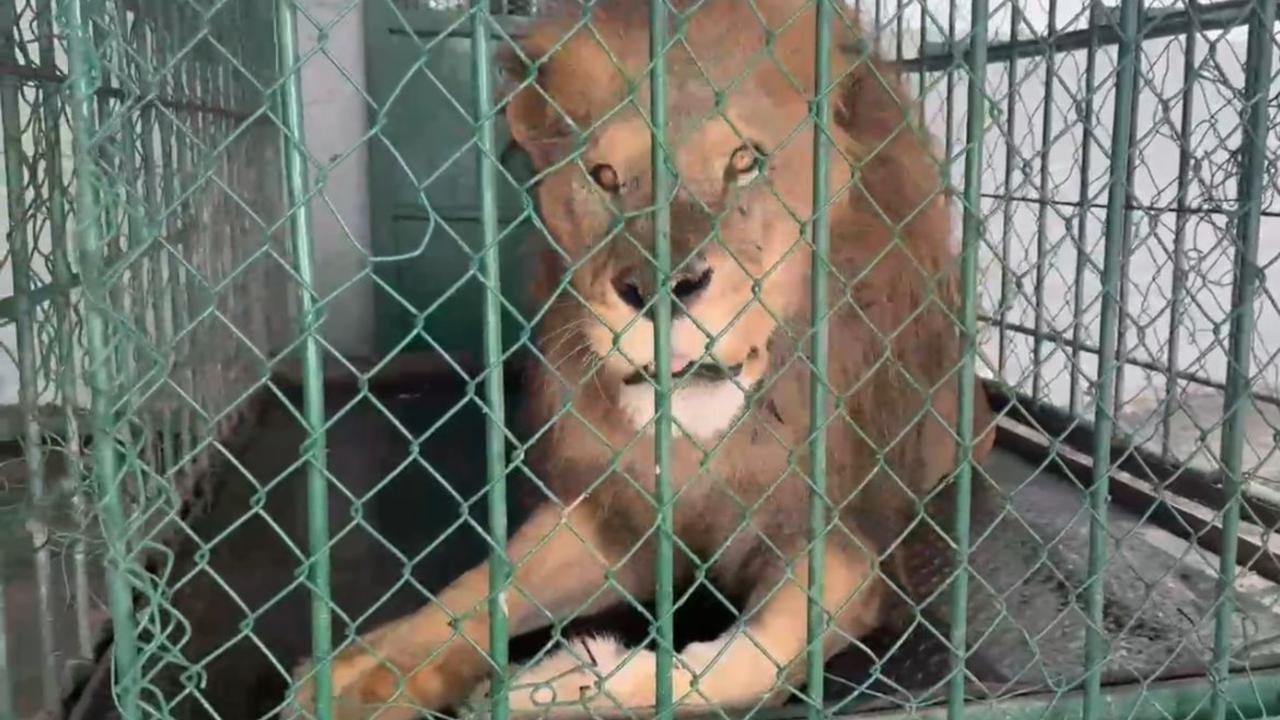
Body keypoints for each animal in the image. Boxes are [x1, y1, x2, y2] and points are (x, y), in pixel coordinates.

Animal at [285, 0, 993, 712]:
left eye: (745, 161)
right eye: (602, 177)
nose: (658, 288)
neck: (708, 443)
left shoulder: (847, 540)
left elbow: (748, 662)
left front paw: (556, 687)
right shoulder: (619, 513)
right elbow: (484, 586)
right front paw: (356, 675)